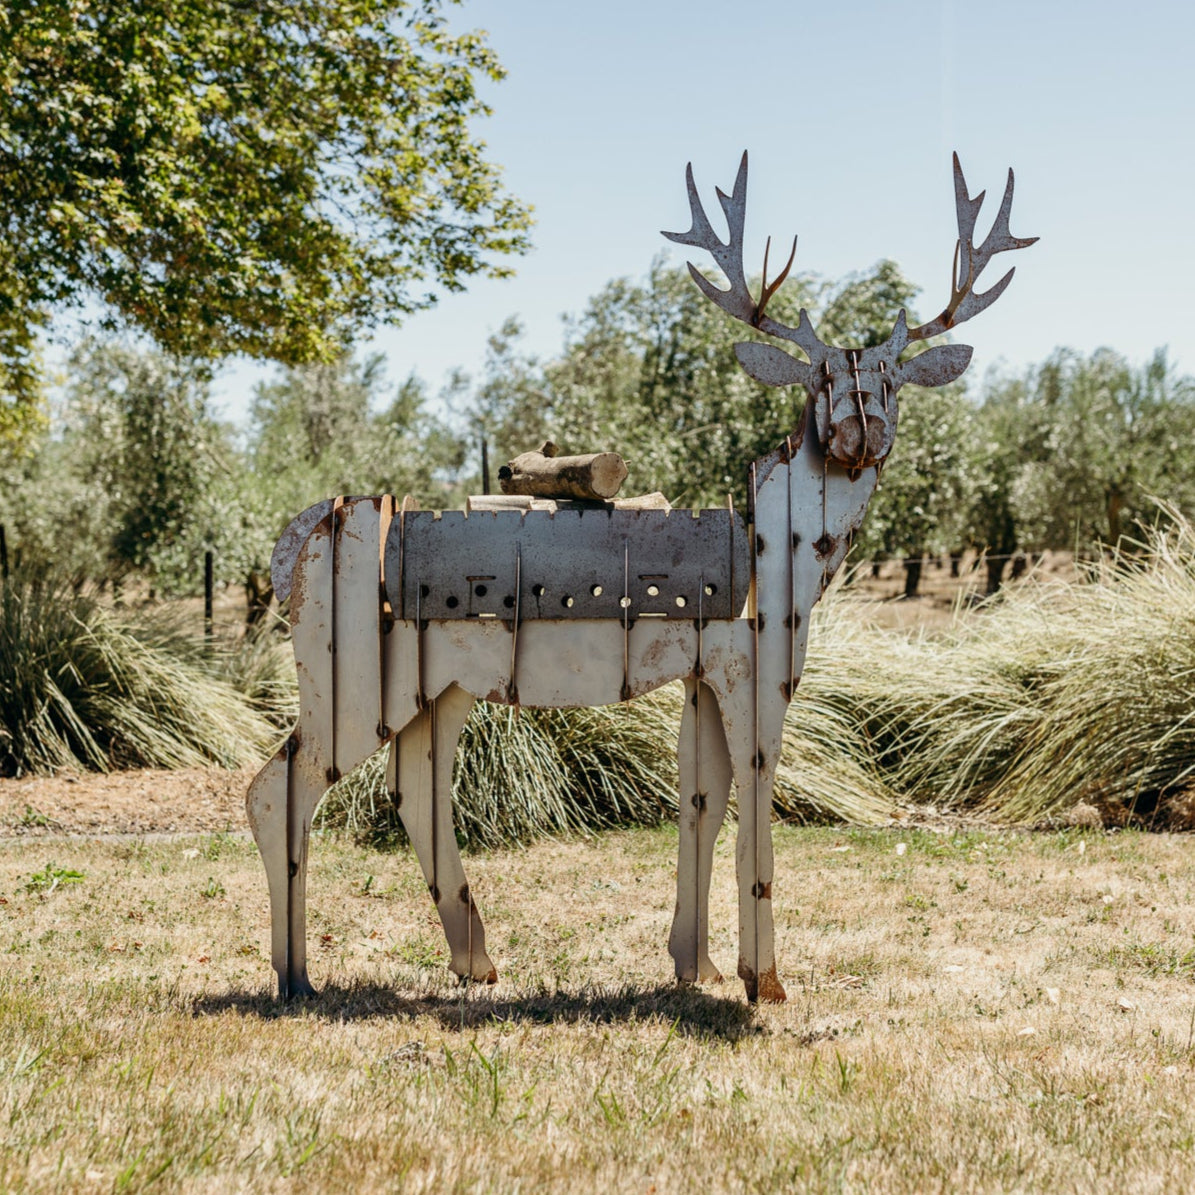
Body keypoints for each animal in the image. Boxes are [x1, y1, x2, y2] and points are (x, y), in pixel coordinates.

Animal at [247, 152, 1035, 1003]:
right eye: (816, 377)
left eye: (892, 377)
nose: (863, 430)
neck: (787, 556)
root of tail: (290, 546)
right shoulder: (747, 665)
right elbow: (754, 795)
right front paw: (763, 981)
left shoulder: (700, 673)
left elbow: (702, 802)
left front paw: (695, 964)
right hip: (348, 680)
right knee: (276, 787)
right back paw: (295, 978)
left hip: (438, 685)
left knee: (413, 787)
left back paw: (475, 959)